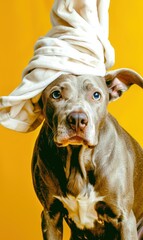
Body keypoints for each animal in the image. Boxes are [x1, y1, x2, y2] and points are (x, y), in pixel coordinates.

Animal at [31, 68, 143, 239]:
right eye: (56, 94)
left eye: (96, 95)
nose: (77, 119)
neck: (78, 159)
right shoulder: (50, 215)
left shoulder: (124, 218)